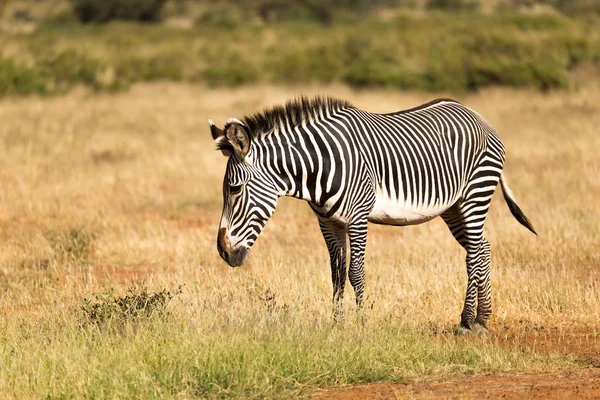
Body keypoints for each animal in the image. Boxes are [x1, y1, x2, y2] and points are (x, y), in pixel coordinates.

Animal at [210, 95, 536, 332]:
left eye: (235, 189)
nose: (223, 252)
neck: (319, 166)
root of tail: (477, 115)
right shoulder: (328, 222)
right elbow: (336, 274)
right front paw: (337, 326)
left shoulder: (358, 218)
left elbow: (356, 272)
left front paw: (362, 325)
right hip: (453, 207)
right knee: (483, 248)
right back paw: (483, 318)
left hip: (475, 194)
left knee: (474, 255)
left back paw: (467, 321)